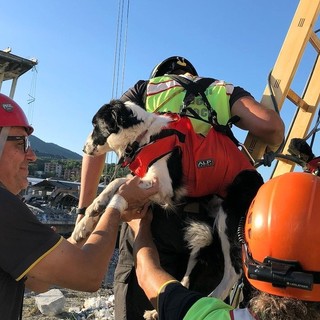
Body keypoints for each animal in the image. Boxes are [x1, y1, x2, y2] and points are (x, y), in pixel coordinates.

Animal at [72, 100, 262, 316]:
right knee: (190, 275)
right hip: (203, 233)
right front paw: (88, 217)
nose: (83, 149)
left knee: (233, 272)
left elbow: (121, 188)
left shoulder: (163, 186)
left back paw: (210, 300)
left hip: (227, 221)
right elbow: (117, 182)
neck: (145, 137)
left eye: (96, 125)